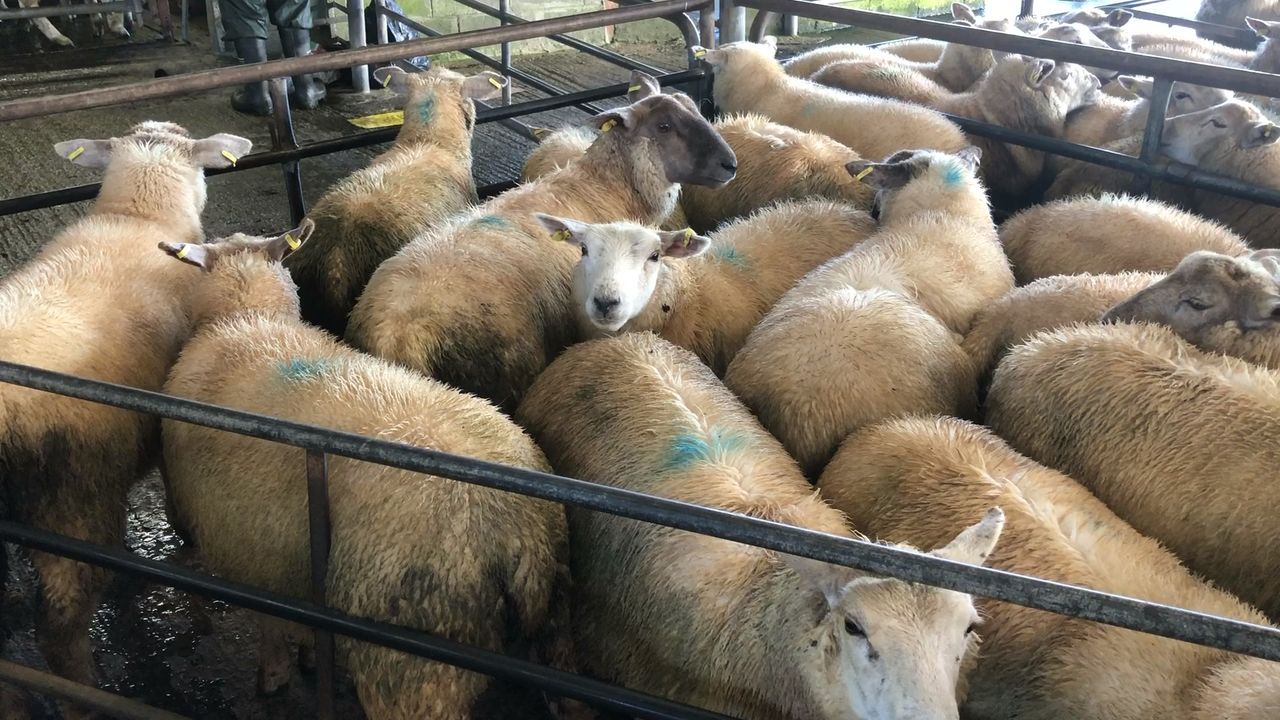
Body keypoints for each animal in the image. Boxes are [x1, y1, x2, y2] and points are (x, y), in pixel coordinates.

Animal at [156, 224, 570, 718]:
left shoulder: (249, 549)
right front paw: (310, 660)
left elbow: (271, 627)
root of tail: (514, 534)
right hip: (554, 624)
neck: (248, 319)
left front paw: (273, 676)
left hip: (412, 657)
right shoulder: (289, 560)